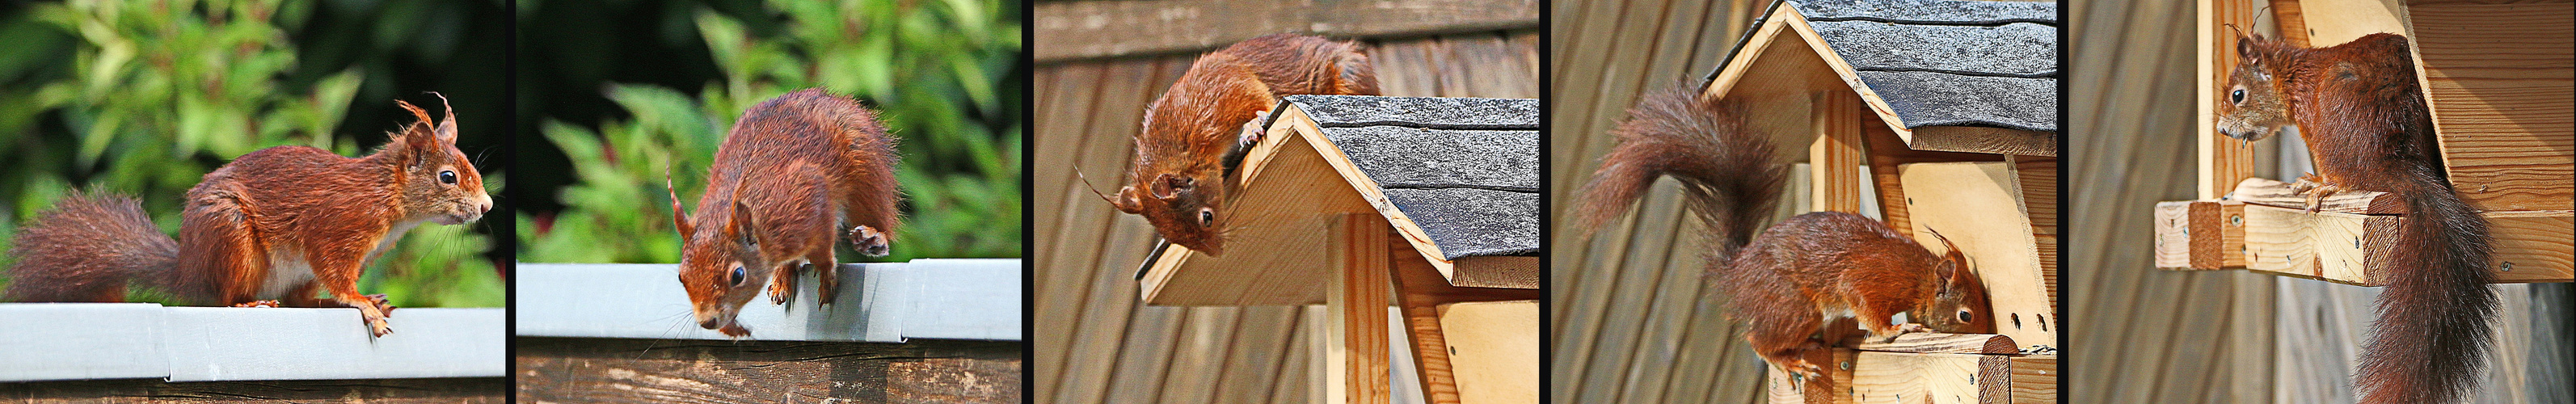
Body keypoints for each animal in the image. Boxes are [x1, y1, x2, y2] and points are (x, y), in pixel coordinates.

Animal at [1, 93, 487, 337]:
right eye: (447, 177)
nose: (487, 206)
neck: (391, 201)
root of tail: (189, 270)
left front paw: (366, 299)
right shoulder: (336, 227)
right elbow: (336, 271)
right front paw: (360, 303)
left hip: (287, 272)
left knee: (300, 300)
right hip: (231, 237)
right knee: (223, 299)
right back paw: (249, 302)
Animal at [669, 89, 901, 337]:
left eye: (738, 275)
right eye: (681, 277)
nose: (707, 321)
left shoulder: (810, 195)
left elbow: (822, 252)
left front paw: (827, 276)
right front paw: (732, 327)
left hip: (868, 172)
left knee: (877, 215)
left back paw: (873, 237)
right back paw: (782, 275)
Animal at [1112, 34, 1390, 255]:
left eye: (1207, 218)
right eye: (1175, 239)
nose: (1217, 253)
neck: (1179, 138)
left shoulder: (1229, 89)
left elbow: (1261, 98)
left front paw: (1255, 125)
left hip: (1347, 75)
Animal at [1566, 86, 1988, 385]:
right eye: (1966, 315)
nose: (1987, 333)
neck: (1920, 277)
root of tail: (1736, 273)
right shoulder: (1873, 280)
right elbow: (1866, 305)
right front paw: (1896, 329)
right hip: (1792, 306)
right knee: (1757, 341)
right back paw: (1788, 361)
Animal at [2215, 32, 2494, 404]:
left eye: (2238, 95)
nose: (2221, 129)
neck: (2293, 77)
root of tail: (2391, 158)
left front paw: (2316, 183)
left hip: (2333, 125)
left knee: (2346, 178)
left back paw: (2321, 185)